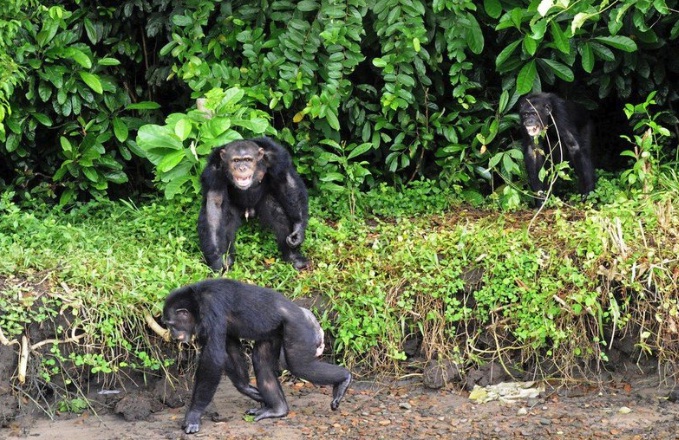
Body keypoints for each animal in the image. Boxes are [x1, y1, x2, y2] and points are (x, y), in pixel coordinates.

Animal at [161, 278, 350, 434]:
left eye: (172, 324)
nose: (172, 333)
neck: (197, 305)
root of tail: (307, 314)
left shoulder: (212, 311)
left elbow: (213, 358)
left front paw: (193, 415)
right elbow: (229, 349)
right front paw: (248, 389)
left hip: (299, 329)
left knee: (300, 366)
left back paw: (344, 380)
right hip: (275, 333)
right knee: (262, 362)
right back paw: (277, 409)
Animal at [198, 138, 310, 270]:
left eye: (248, 160)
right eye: (236, 160)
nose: (242, 168)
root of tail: (249, 211)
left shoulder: (277, 158)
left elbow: (286, 182)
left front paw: (298, 229)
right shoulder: (213, 173)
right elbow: (215, 206)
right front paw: (217, 261)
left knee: (278, 213)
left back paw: (293, 257)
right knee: (226, 220)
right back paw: (227, 258)